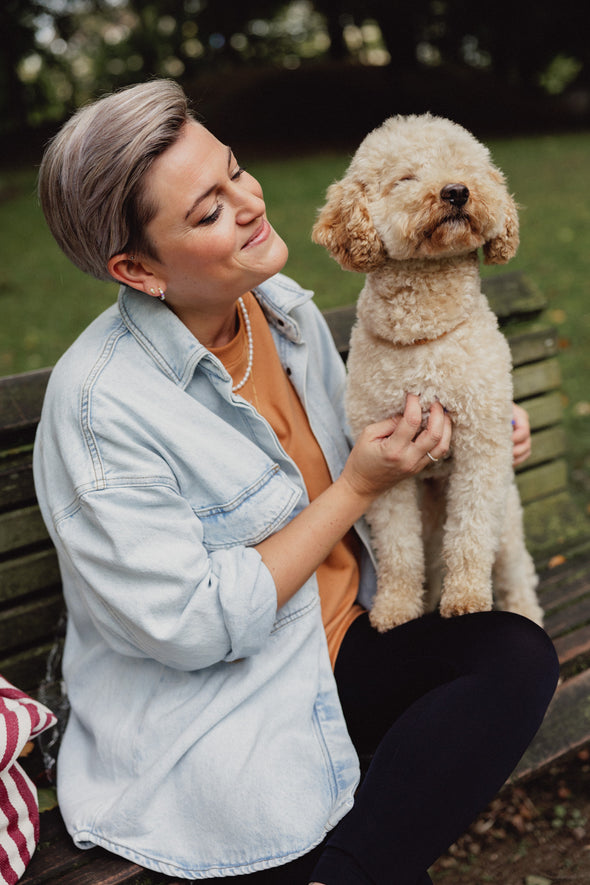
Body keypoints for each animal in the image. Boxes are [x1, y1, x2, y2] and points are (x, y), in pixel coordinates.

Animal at [314, 114, 544, 632]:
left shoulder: (483, 446)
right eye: (404, 178)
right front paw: (396, 609)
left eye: (466, 167)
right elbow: (398, 549)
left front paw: (466, 598)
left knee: (516, 569)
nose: (456, 191)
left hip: (508, 515)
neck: (424, 335)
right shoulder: (387, 469)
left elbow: (471, 533)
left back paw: (523, 610)